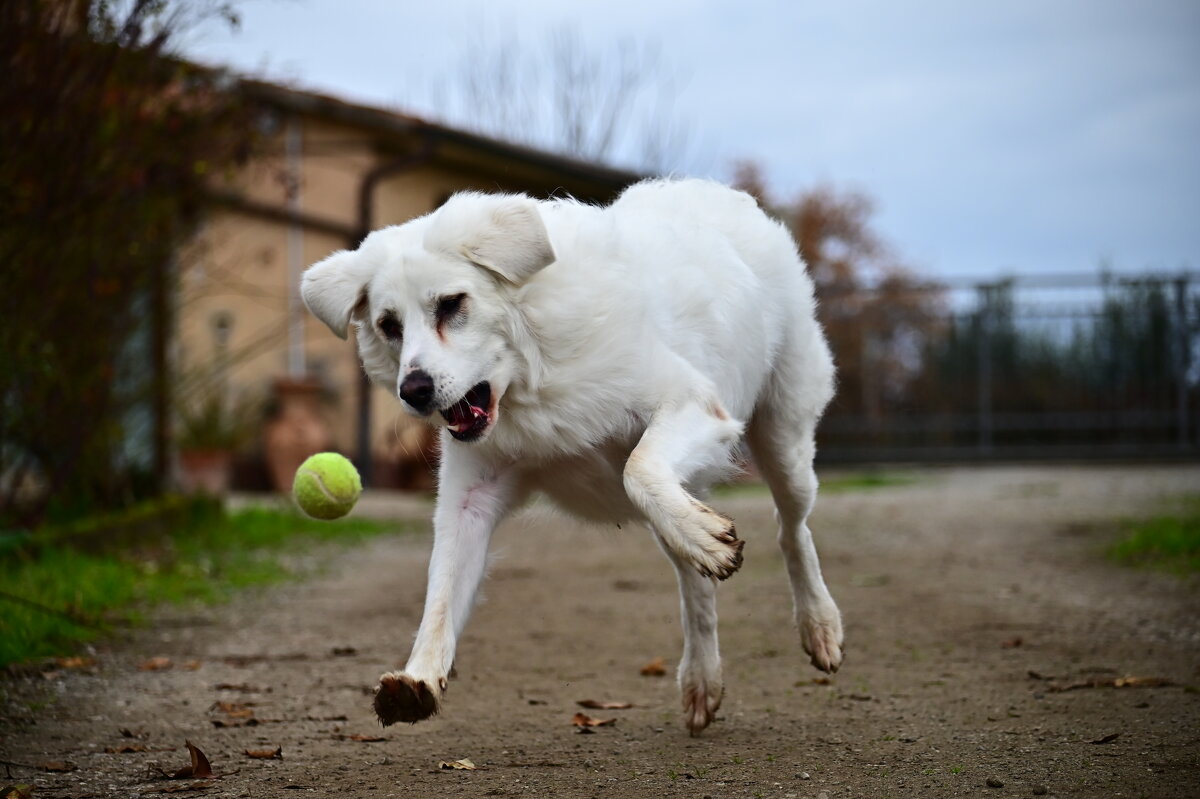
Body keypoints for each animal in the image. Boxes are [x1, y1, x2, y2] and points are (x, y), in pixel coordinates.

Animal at [300, 177, 844, 729]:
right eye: (389, 325)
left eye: (451, 304)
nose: (414, 391)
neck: (530, 375)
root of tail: (723, 194)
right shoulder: (467, 501)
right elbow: (441, 594)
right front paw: (419, 679)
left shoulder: (693, 403)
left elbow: (638, 469)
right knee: (697, 582)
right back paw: (702, 674)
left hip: (783, 442)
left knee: (791, 529)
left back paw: (818, 624)